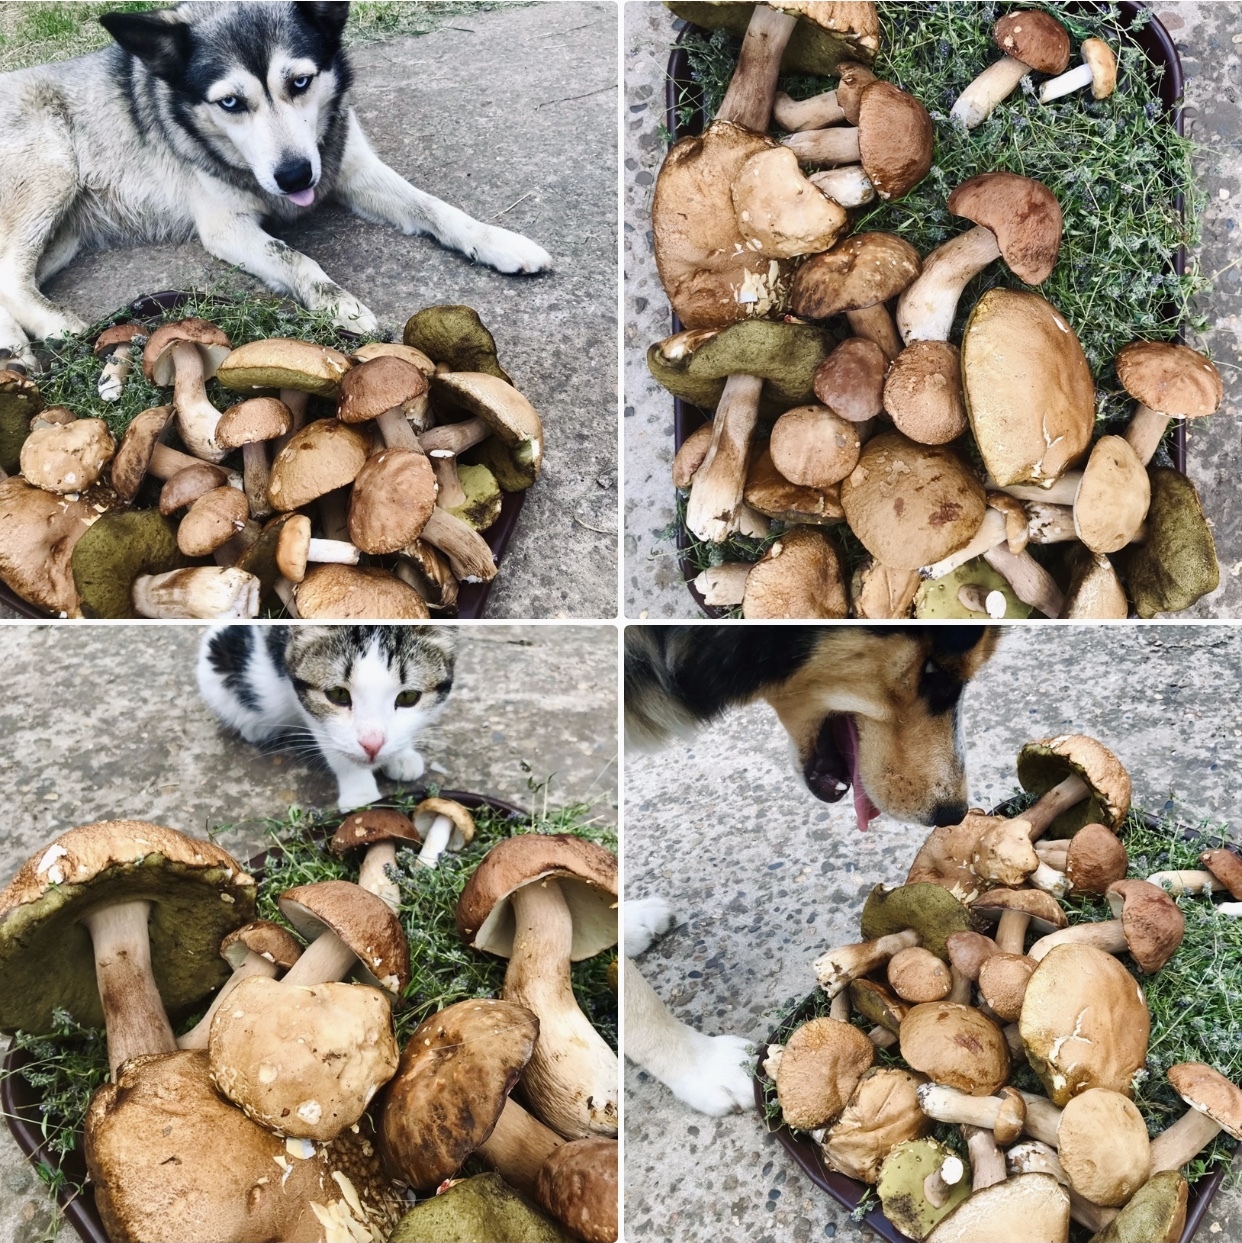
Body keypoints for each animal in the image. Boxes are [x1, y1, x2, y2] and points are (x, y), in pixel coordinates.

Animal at [0, 1, 549, 367]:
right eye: (230, 103)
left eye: (300, 82)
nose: (295, 176)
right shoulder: (226, 228)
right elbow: (296, 258)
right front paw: (338, 304)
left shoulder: (351, 167)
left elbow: (434, 207)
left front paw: (497, 241)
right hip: (53, 168)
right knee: (13, 277)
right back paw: (50, 333)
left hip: (65, 233)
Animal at [198, 626, 457, 810]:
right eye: (338, 694)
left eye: (408, 697)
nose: (372, 745)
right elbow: (334, 745)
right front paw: (361, 795)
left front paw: (401, 755)